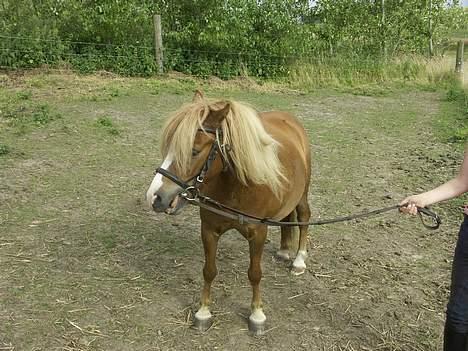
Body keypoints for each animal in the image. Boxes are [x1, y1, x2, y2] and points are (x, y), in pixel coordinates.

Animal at [146, 91, 310, 336]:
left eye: (194, 151)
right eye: (167, 148)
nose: (155, 197)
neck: (237, 186)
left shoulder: (258, 233)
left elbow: (254, 273)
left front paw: (257, 315)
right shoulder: (209, 229)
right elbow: (209, 270)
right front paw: (203, 312)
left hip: (302, 194)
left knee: (304, 218)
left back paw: (299, 260)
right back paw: (283, 251)